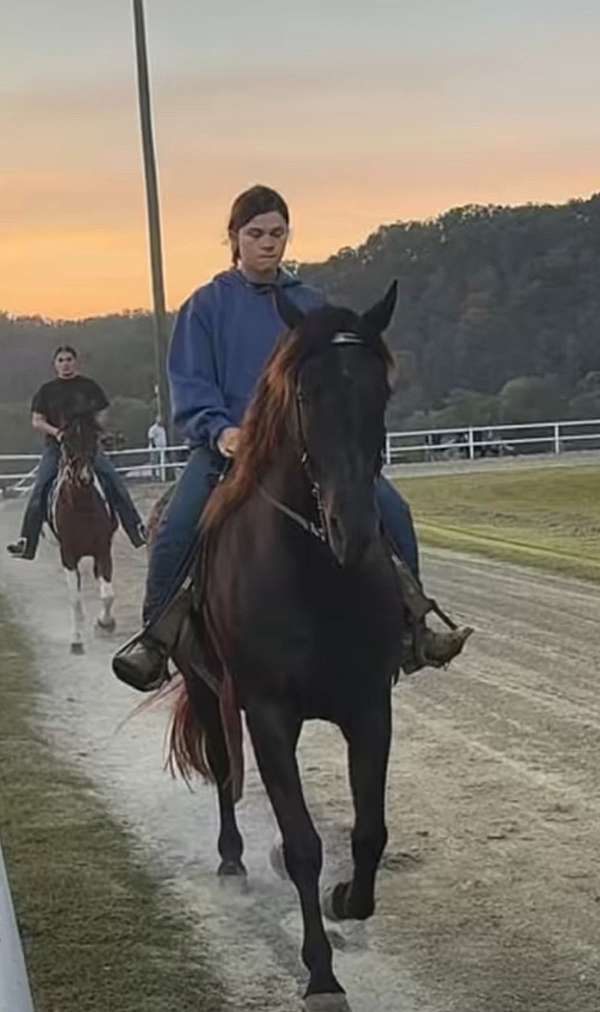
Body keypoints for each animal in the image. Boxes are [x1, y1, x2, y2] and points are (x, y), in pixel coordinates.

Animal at [166, 283, 402, 1003]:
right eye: (306, 393)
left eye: (380, 391)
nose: (353, 528)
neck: (314, 573)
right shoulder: (267, 715)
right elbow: (302, 846)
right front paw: (320, 973)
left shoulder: (370, 706)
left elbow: (369, 831)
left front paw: (350, 898)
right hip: (206, 689)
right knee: (222, 773)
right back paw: (232, 856)